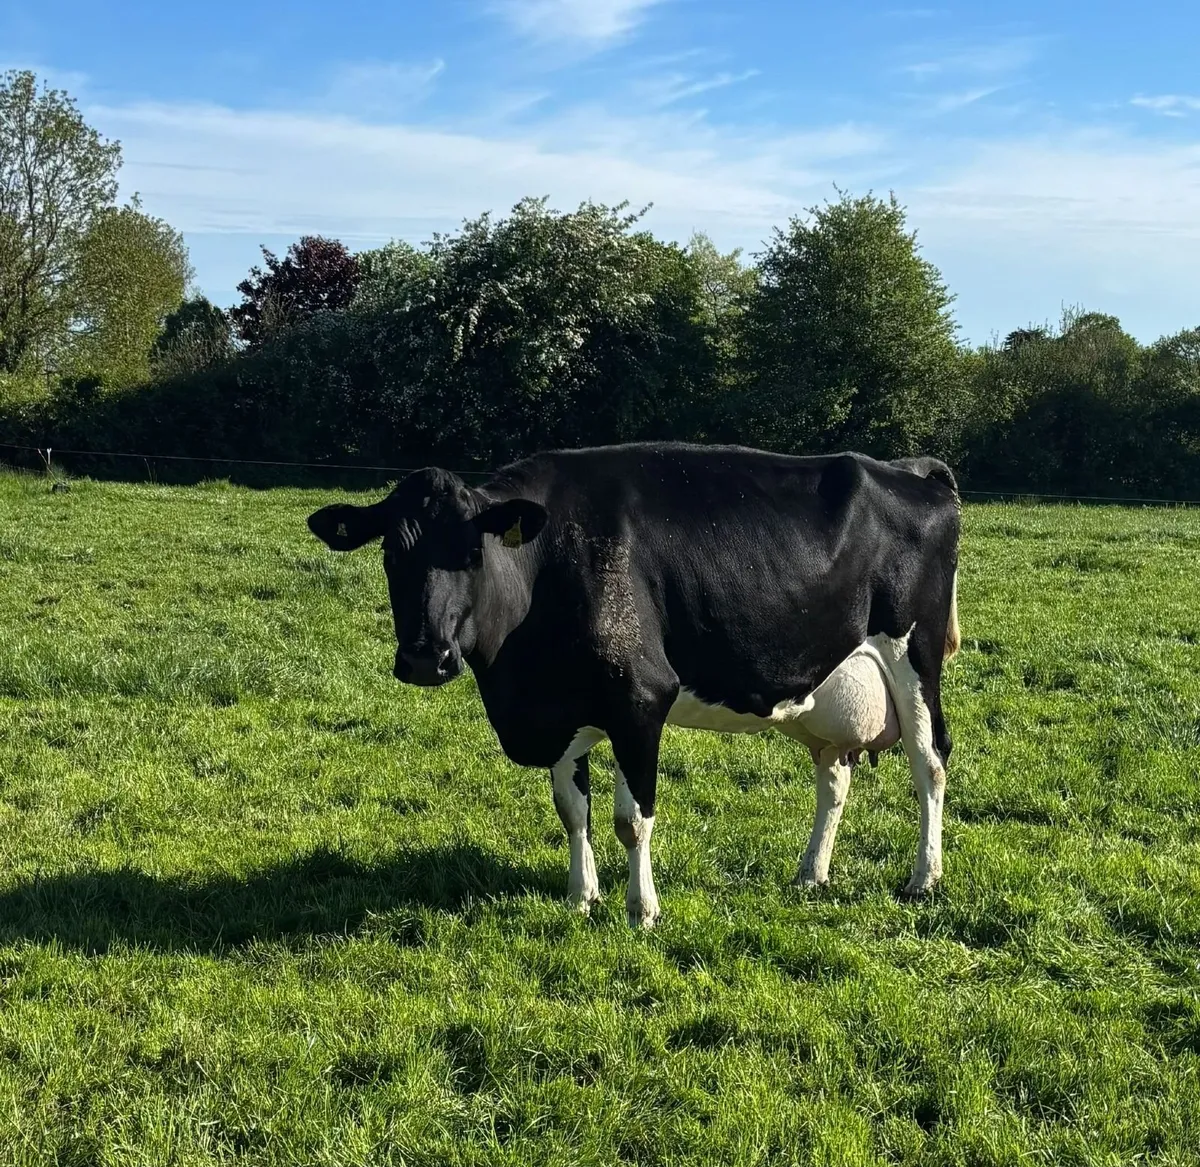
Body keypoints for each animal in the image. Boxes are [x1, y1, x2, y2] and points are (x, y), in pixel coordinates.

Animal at [307, 442, 961, 928]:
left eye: (473, 552)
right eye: (391, 553)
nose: (426, 659)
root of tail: (909, 471)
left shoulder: (641, 701)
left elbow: (632, 818)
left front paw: (640, 909)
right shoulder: (566, 710)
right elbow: (572, 809)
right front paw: (581, 897)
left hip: (914, 653)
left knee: (929, 762)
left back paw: (924, 877)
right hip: (824, 691)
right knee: (834, 777)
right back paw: (810, 873)